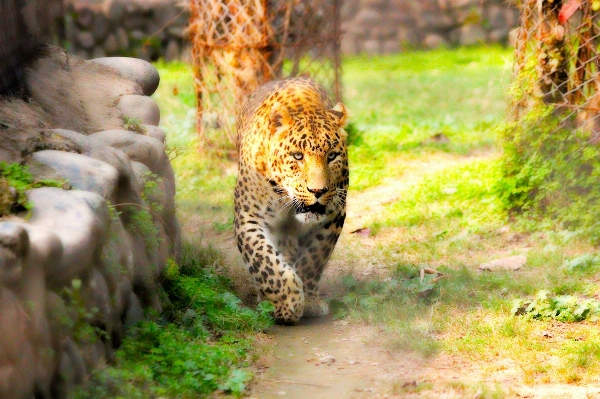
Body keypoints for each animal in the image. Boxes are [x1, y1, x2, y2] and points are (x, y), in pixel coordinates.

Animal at [233, 76, 350, 326]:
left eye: (332, 156)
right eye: (298, 156)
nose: (318, 190)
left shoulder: (334, 215)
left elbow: (314, 258)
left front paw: (310, 300)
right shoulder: (249, 218)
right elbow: (265, 261)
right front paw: (288, 303)